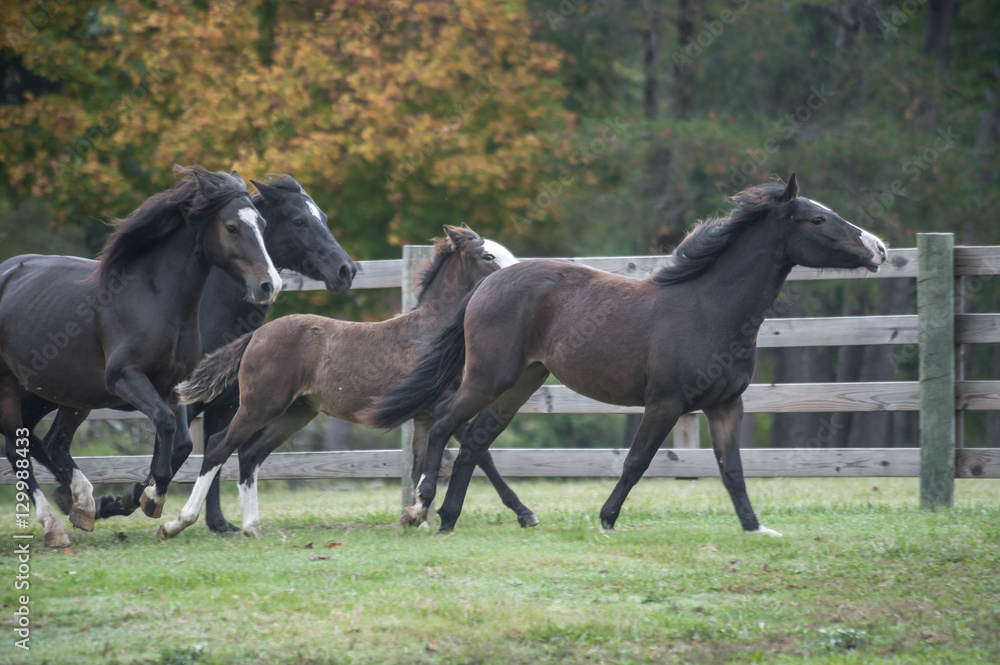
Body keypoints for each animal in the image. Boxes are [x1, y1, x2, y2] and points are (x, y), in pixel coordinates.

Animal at [14, 174, 357, 533]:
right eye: (300, 221)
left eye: (323, 218)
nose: (346, 270)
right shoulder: (178, 401)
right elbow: (177, 450)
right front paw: (130, 498)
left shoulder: (223, 405)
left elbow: (213, 453)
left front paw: (218, 523)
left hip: (55, 396)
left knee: (40, 441)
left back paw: (71, 497)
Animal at [157, 224, 535, 539]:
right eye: (488, 256)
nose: (521, 273)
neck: (431, 334)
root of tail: (256, 335)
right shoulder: (444, 406)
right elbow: (480, 454)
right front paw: (523, 513)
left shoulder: (425, 416)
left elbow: (421, 464)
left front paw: (417, 518)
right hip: (260, 404)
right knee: (219, 445)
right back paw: (177, 523)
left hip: (296, 412)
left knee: (250, 454)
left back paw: (252, 527)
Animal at [364, 175, 888, 534]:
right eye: (817, 219)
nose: (879, 248)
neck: (710, 307)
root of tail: (485, 286)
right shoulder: (665, 403)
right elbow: (637, 462)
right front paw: (606, 520)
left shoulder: (726, 405)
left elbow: (732, 469)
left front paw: (756, 527)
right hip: (490, 376)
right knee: (445, 422)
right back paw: (420, 507)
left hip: (524, 379)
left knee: (475, 439)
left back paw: (453, 518)